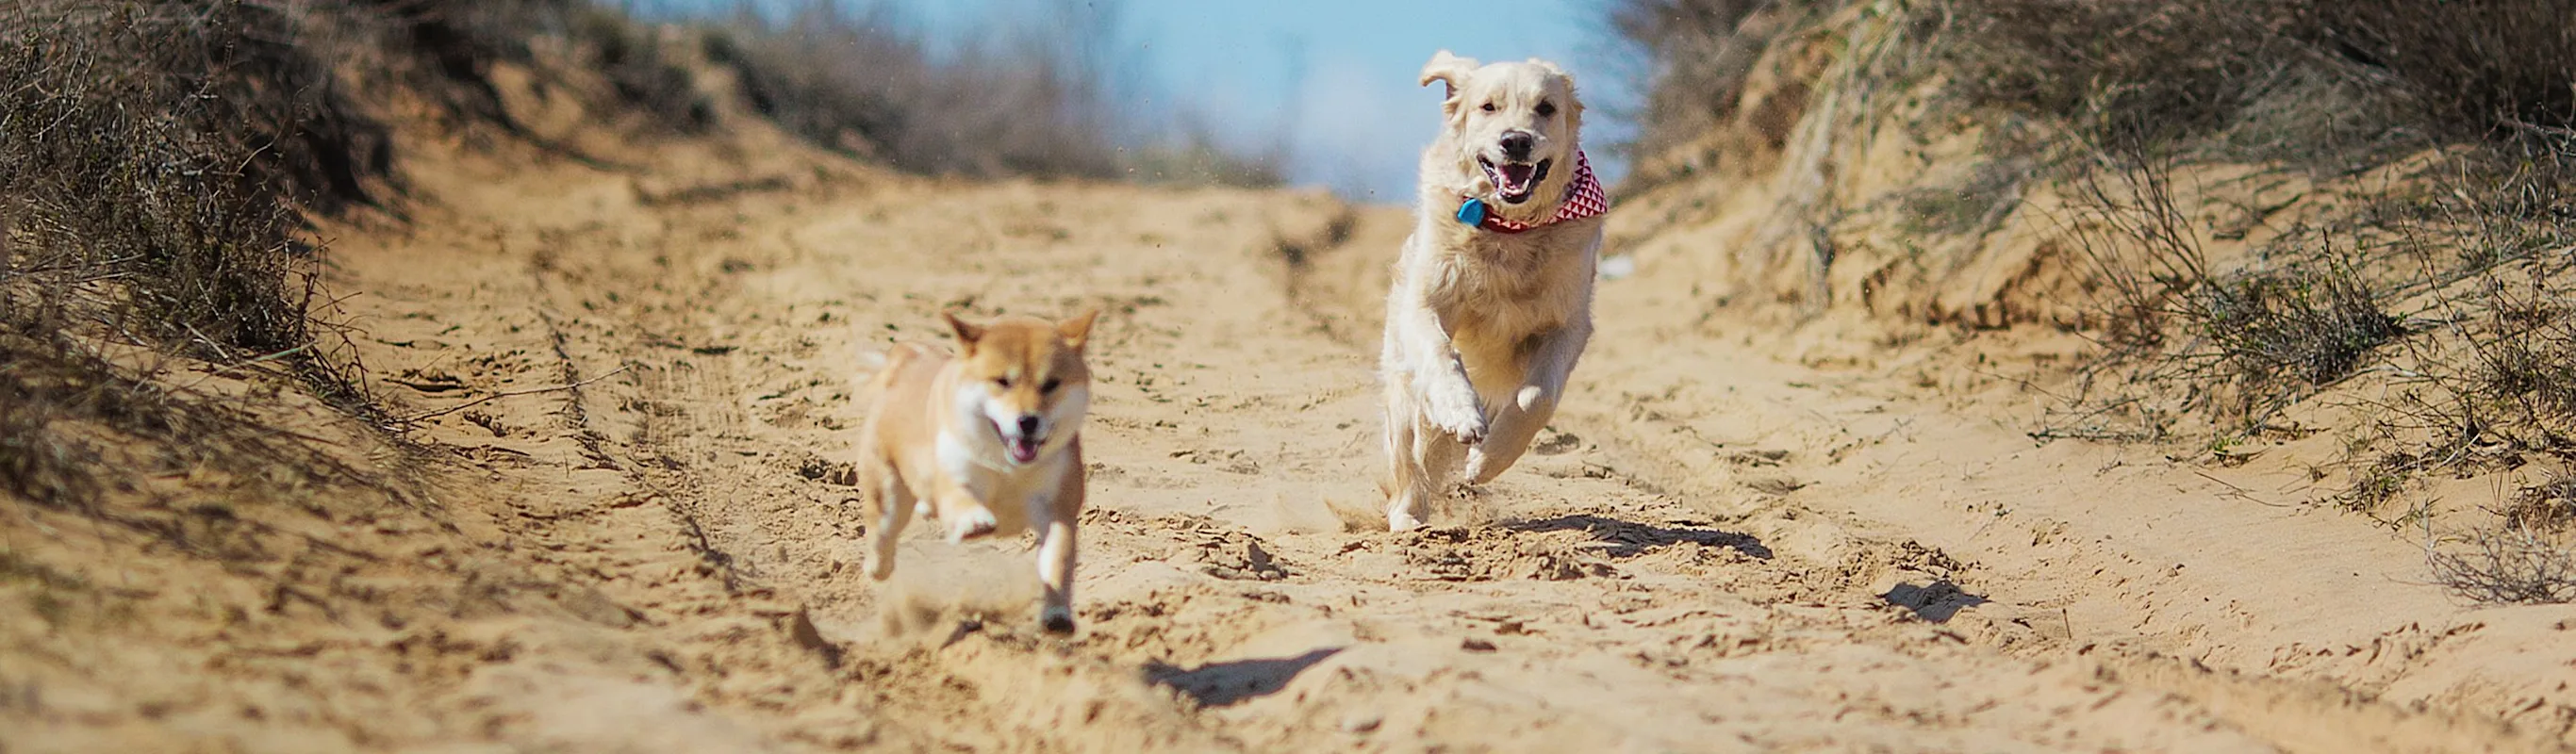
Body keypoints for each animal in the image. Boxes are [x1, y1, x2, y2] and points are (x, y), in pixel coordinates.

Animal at [855, 308, 1097, 630]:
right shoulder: (955, 474)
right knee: (883, 535)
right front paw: (974, 522)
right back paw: (877, 565)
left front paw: (1057, 614)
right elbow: (960, 499)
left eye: (1051, 384)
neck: (1008, 468)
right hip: (887, 492)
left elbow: (1058, 558)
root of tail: (907, 358)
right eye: (1002, 381)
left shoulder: (1057, 507)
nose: (1028, 421)